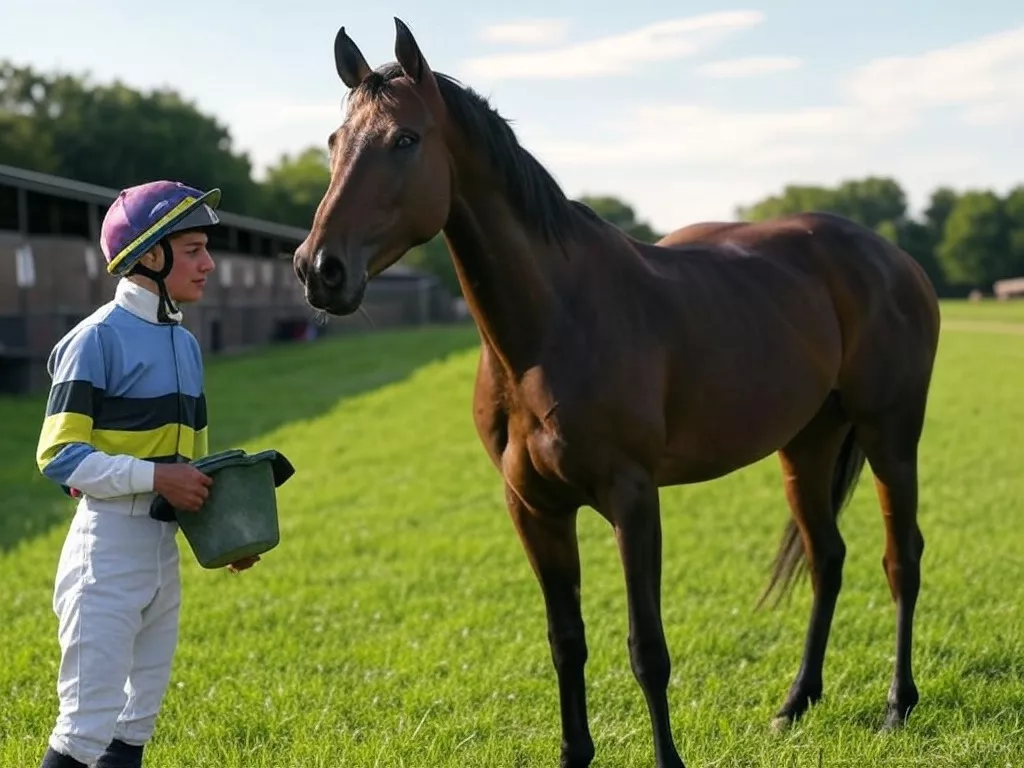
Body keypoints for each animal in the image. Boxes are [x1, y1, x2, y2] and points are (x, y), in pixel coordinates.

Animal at [291, 18, 941, 768]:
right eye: (334, 142)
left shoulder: (633, 500)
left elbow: (646, 650)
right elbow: (565, 642)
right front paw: (575, 752)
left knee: (902, 559)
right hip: (807, 444)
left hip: (891, 435)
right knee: (827, 559)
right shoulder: (534, 509)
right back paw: (795, 703)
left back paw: (898, 704)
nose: (319, 268)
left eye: (405, 139)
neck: (553, 325)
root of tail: (895, 259)